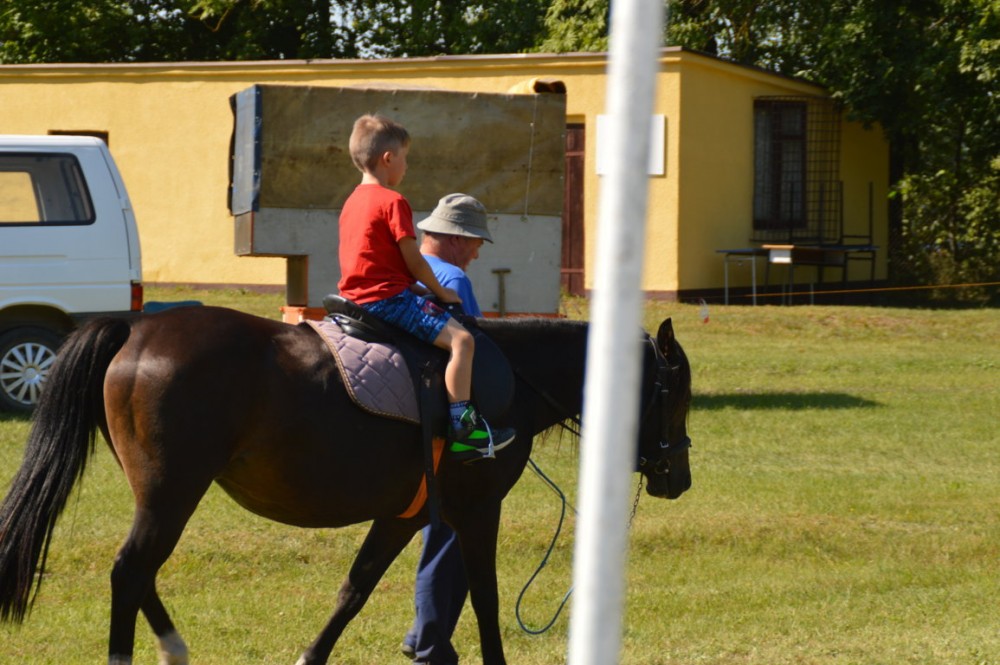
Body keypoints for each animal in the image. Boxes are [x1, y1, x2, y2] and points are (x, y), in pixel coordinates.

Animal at [0, 305, 691, 665]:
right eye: (677, 392)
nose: (679, 479)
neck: (512, 380)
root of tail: (136, 327)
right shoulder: (476, 511)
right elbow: (487, 602)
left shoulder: (404, 516)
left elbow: (353, 590)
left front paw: (313, 656)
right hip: (172, 491)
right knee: (130, 571)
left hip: (164, 495)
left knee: (138, 574)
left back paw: (173, 645)